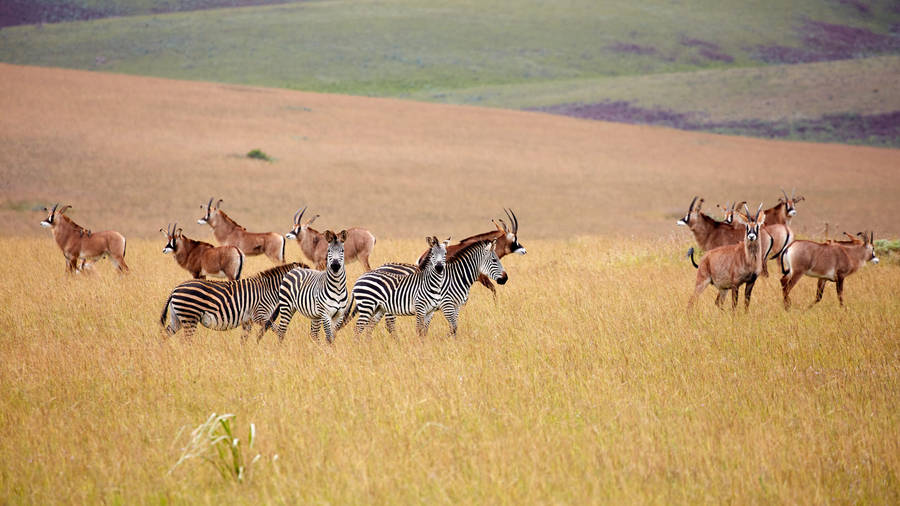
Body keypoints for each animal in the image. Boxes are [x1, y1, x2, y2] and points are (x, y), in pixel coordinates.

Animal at [159, 262, 305, 340]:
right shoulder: (259, 315)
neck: (269, 290)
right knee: (185, 341)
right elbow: (276, 329)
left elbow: (244, 339)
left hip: (178, 319)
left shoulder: (248, 320)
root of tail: (175, 289)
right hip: (189, 317)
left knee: (165, 336)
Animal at [378, 239, 507, 337]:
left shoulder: (456, 306)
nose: (505, 278)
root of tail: (381, 267)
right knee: (390, 325)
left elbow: (453, 327)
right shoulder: (447, 304)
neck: (457, 276)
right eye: (494, 260)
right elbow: (453, 327)